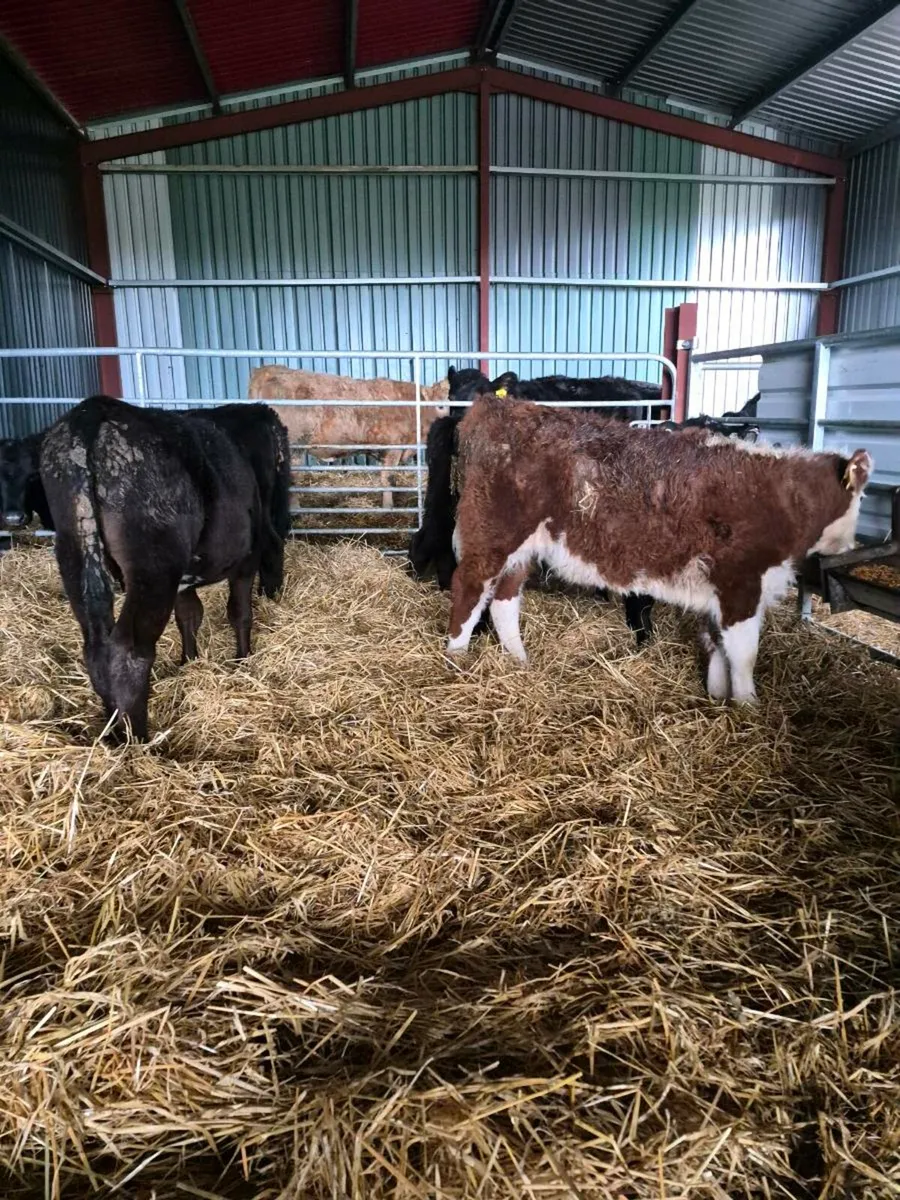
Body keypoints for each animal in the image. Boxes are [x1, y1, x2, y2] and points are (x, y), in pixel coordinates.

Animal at [39, 396, 284, 741]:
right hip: (153, 565)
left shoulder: (183, 579)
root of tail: (93, 411)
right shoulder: (246, 557)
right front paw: (242, 659)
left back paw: (112, 730)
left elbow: (189, 616)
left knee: (96, 647)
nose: (274, 595)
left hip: (75, 553)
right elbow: (239, 612)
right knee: (129, 651)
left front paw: (188, 662)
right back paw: (136, 739)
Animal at [248, 366, 450, 509]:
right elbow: (388, 478)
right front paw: (388, 507)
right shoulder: (393, 447)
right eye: (440, 406)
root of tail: (267, 370)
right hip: (294, 446)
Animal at [444, 389, 871, 703]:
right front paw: (748, 707)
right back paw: (456, 659)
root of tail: (495, 405)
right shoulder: (741, 583)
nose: (851, 543)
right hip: (492, 534)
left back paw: (519, 661)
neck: (783, 497)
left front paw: (716, 697)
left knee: (504, 600)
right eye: (862, 497)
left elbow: (716, 644)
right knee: (469, 589)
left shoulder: (717, 590)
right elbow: (744, 653)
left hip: (521, 549)